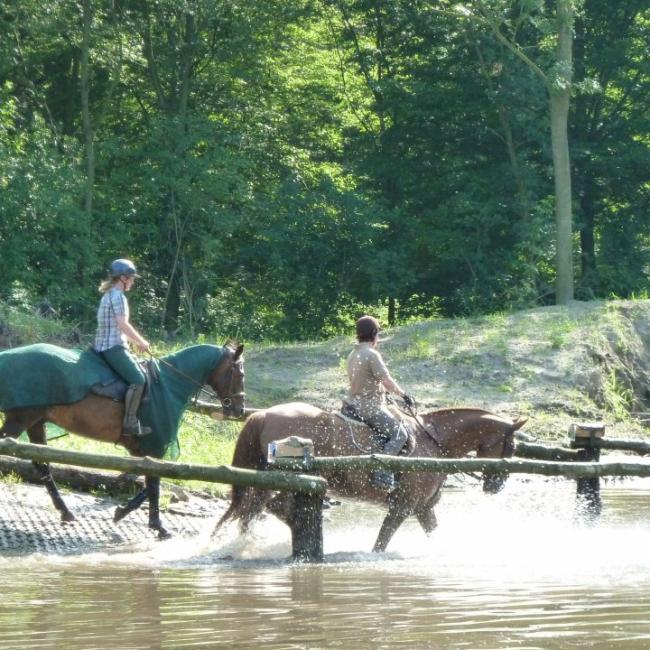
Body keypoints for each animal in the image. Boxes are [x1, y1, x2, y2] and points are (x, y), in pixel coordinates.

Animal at [0, 342, 243, 536]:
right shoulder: (155, 447)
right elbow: (154, 484)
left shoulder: (143, 451)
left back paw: (65, 512)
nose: (239, 410)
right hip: (21, 419)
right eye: (240, 374)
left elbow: (151, 482)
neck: (170, 385)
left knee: (42, 465)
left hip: (35, 422)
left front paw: (122, 512)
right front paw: (158, 526)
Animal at [220, 402, 524, 548]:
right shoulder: (403, 506)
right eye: (510, 447)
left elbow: (434, 534)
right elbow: (381, 543)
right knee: (263, 507)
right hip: (280, 480)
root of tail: (263, 415)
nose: (497, 486)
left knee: (253, 510)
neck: (435, 442)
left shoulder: (423, 508)